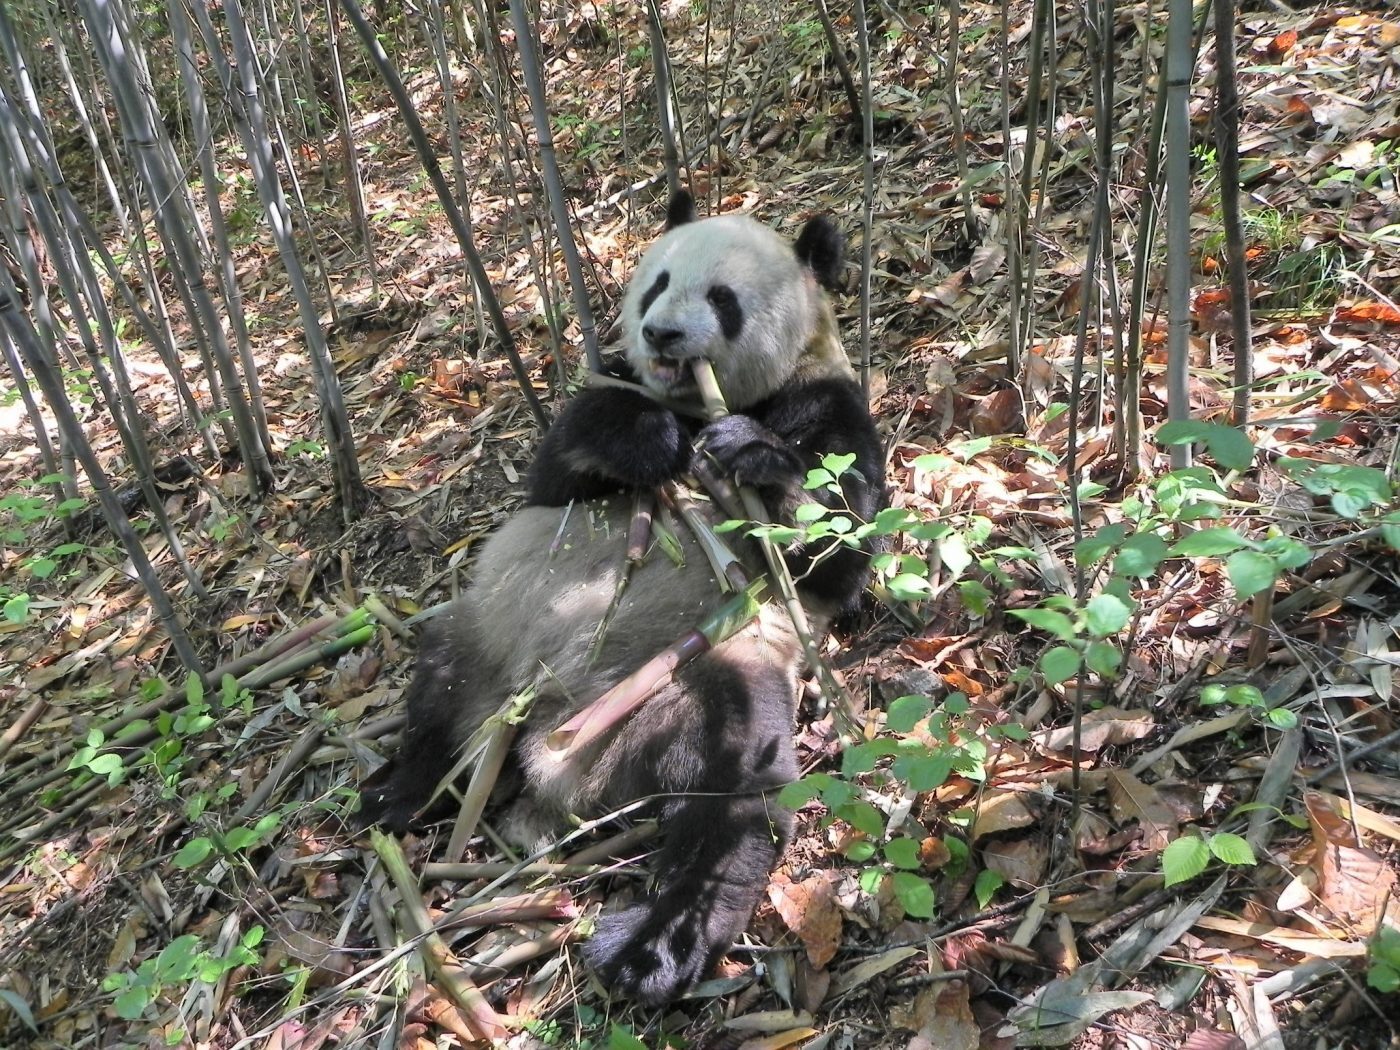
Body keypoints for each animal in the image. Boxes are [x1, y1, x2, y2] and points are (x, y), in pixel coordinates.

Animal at [364, 193, 884, 1008]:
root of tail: (548, 747)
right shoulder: (602, 403)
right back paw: (400, 792)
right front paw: (650, 440)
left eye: (723, 299)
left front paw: (751, 451)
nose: (661, 332)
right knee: (439, 686)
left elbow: (838, 549)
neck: (702, 402)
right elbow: (557, 471)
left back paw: (650, 950)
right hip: (494, 629)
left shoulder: (826, 398)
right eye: (657, 283)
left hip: (682, 684)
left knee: (733, 782)